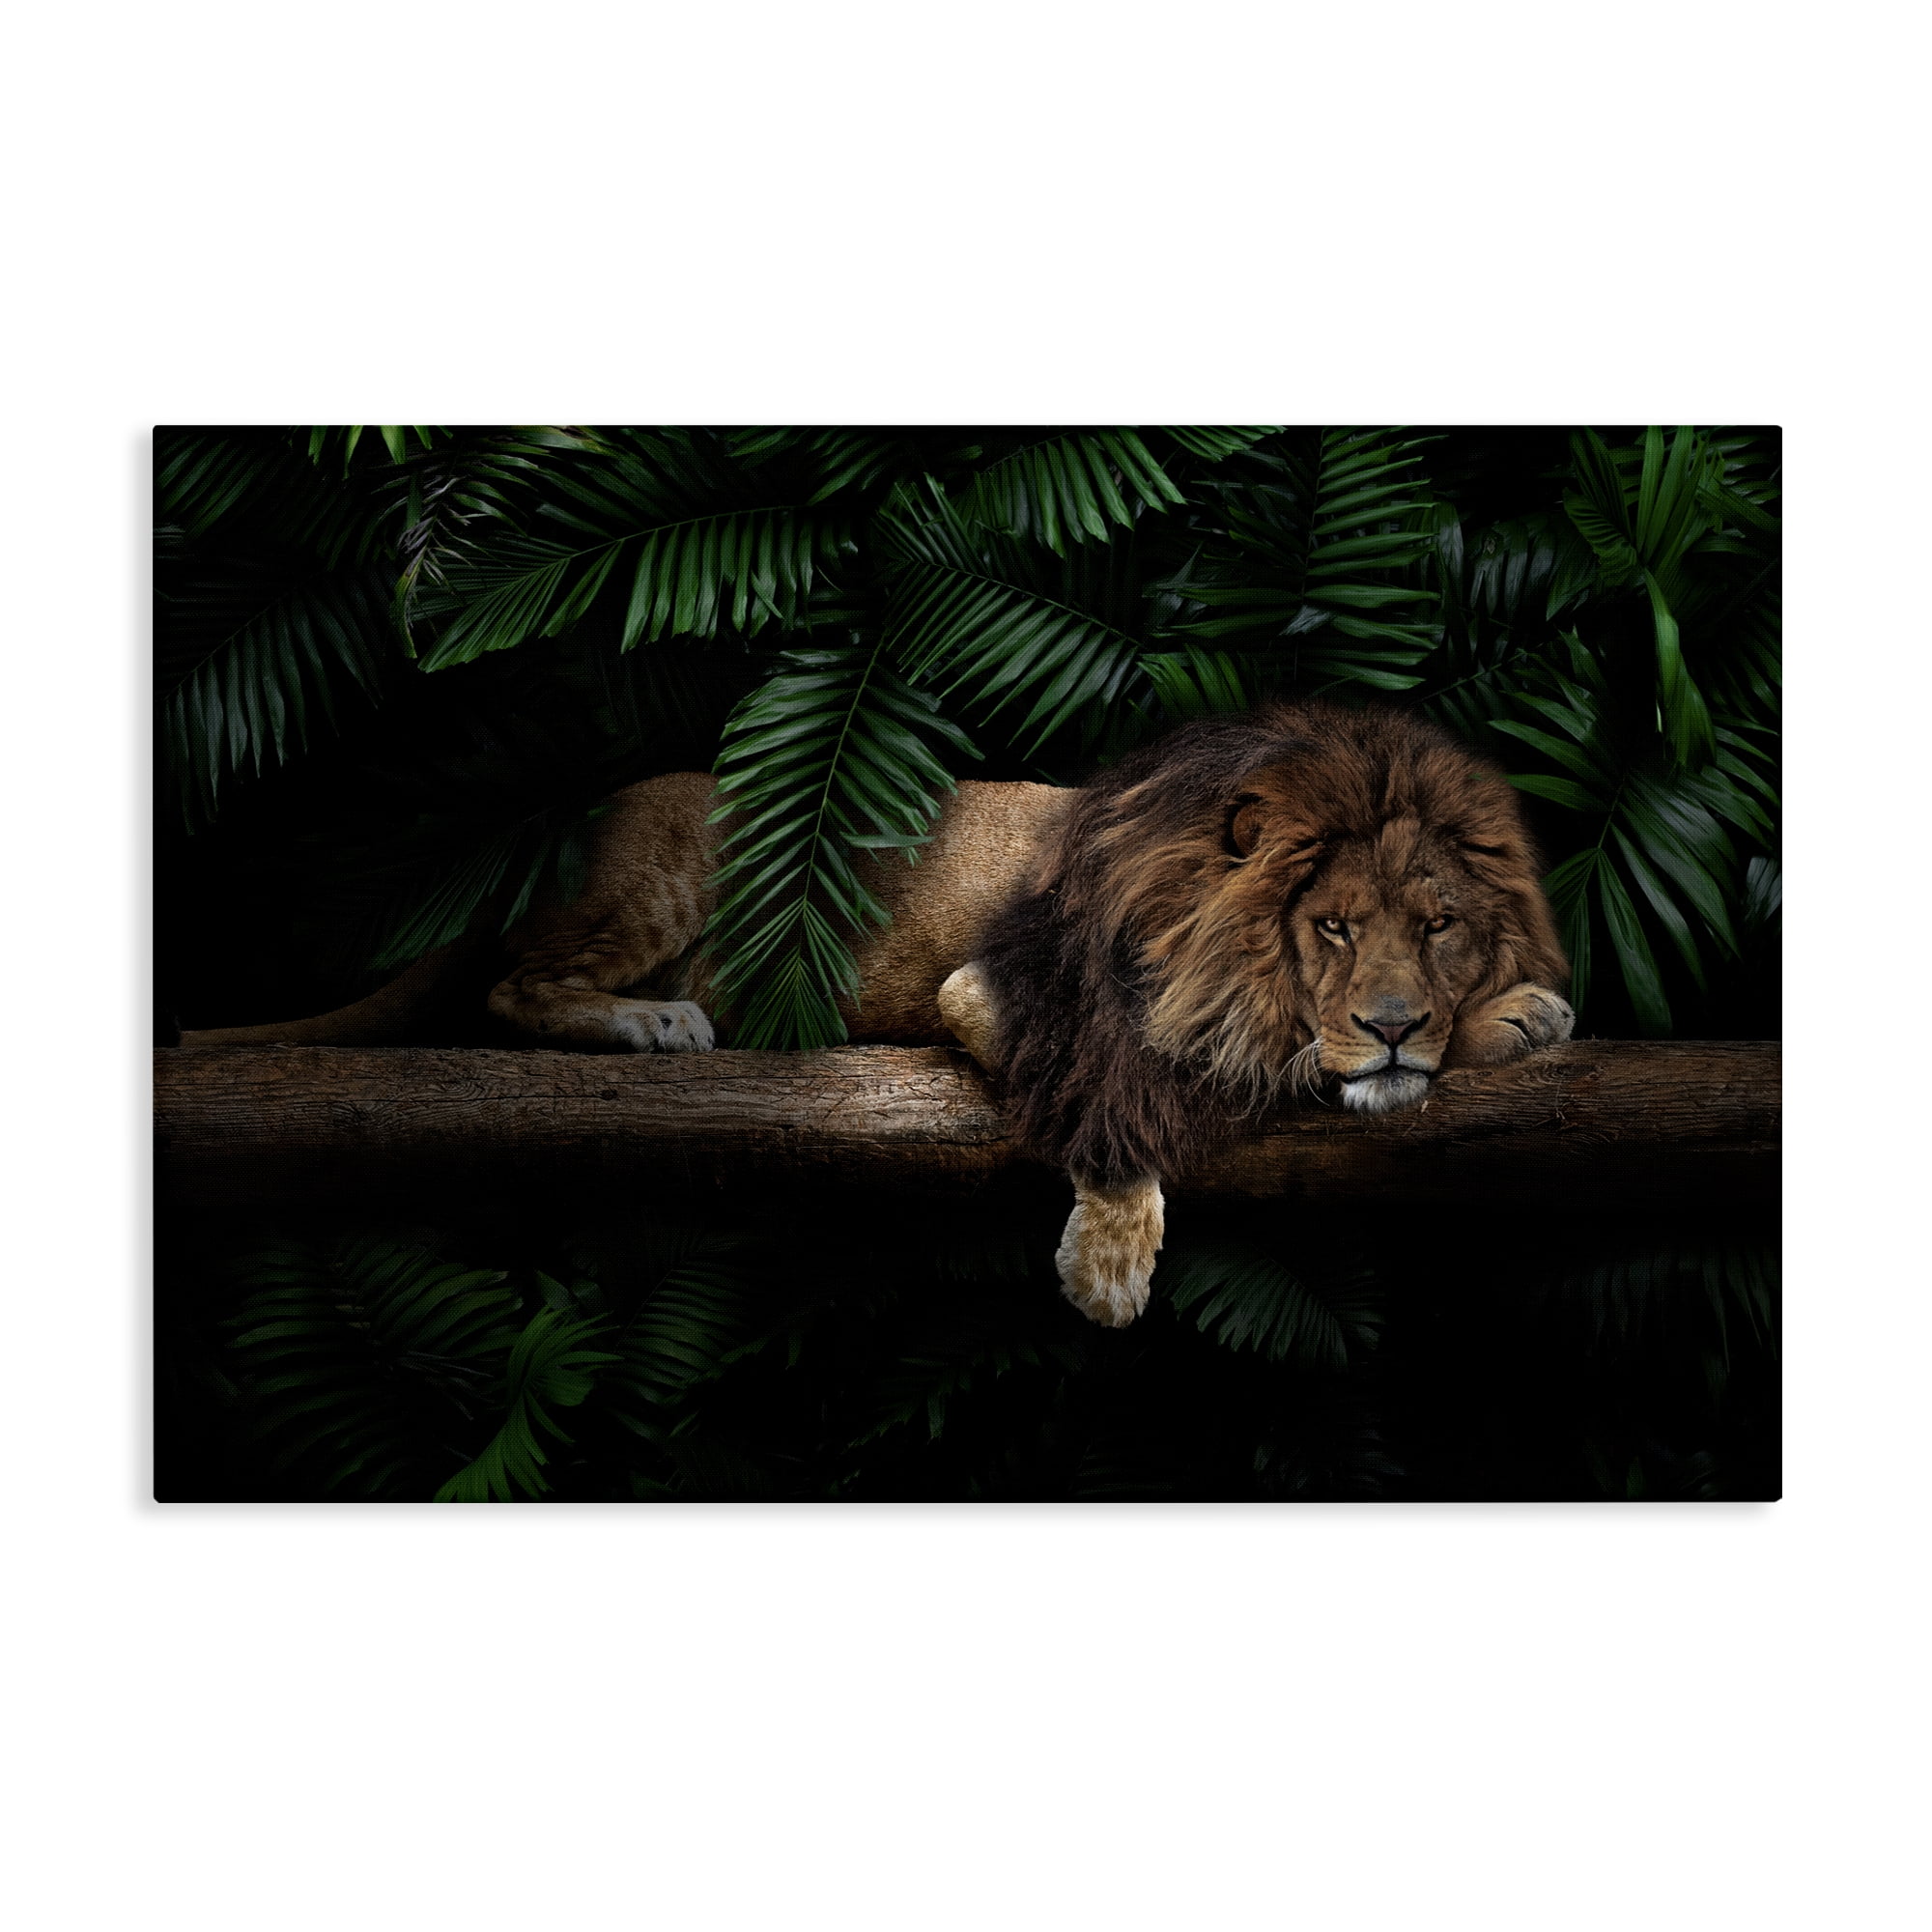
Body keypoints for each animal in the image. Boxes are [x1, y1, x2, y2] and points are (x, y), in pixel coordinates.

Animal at [182, 701, 1573, 1327]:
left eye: (1436, 923)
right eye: (1328, 927)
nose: (1390, 1021)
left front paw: (1511, 1015)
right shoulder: (997, 991)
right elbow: (1155, 1092)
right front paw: (1110, 1264)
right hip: (663, 874)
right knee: (511, 983)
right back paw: (649, 1024)